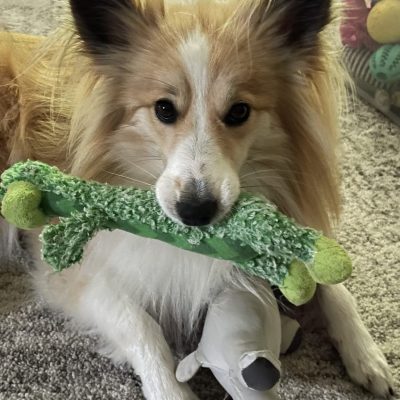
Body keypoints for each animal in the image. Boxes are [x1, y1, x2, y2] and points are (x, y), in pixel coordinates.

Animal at [0, 0, 394, 398]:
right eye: (163, 109)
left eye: (239, 111)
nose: (195, 210)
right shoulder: (75, 273)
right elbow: (142, 327)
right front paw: (170, 389)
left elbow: (336, 286)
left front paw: (368, 355)